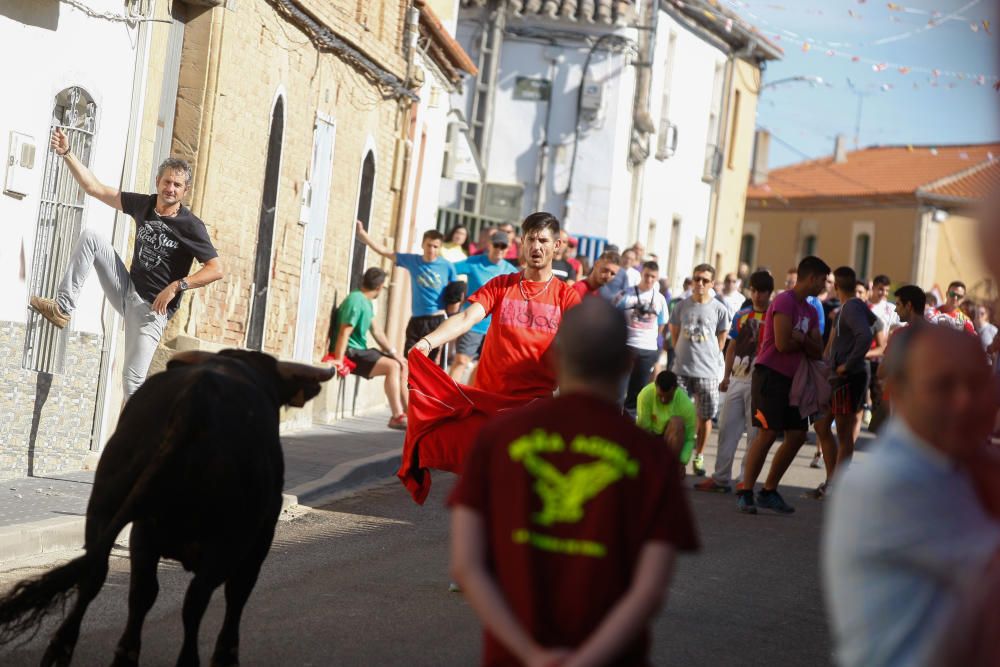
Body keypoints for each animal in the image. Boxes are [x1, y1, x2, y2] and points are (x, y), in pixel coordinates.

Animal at [0, 352, 336, 664]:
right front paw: (226, 655)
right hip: (224, 541)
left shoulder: (143, 534)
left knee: (106, 578)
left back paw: (73, 650)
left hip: (108, 507)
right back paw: (187, 660)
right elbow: (236, 594)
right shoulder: (258, 541)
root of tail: (195, 402)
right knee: (196, 599)